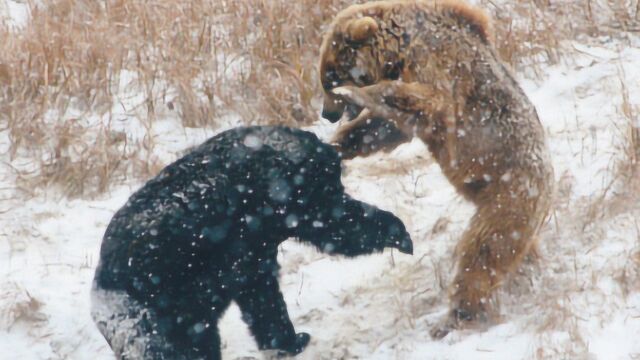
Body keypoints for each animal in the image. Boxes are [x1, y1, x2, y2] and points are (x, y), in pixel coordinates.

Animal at [318, 0, 556, 338]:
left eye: (330, 78)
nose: (326, 113)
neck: (398, 50)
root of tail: (549, 188)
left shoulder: (437, 65)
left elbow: (428, 101)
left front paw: (358, 93)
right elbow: (387, 127)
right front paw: (335, 145)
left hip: (510, 194)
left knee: (482, 251)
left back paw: (455, 317)